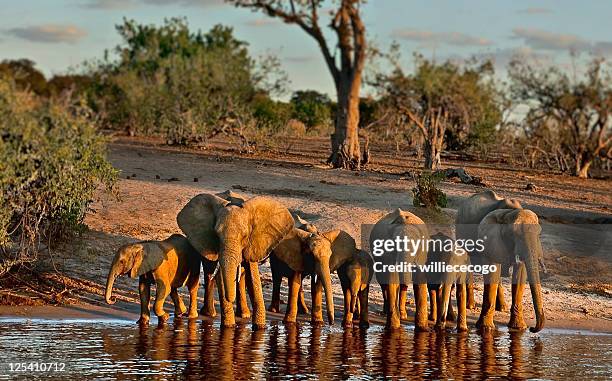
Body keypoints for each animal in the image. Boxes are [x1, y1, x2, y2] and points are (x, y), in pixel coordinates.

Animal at [177, 191, 294, 328]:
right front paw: (229, 327)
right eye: (216, 235)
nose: (230, 299)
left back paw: (244, 315)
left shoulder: (253, 243)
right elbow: (221, 278)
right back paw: (210, 314)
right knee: (209, 271)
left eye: (245, 235)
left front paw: (259, 328)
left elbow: (252, 279)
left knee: (241, 275)